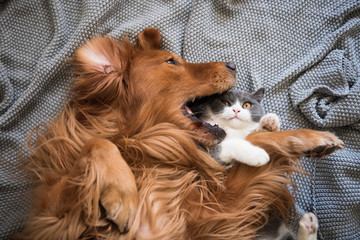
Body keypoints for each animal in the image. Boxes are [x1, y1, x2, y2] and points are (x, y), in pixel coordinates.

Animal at [18, 28, 344, 240]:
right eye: (172, 61)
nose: (233, 64)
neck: (139, 147)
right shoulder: (54, 221)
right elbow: (97, 143)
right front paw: (121, 193)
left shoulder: (209, 215)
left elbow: (255, 143)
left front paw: (311, 138)